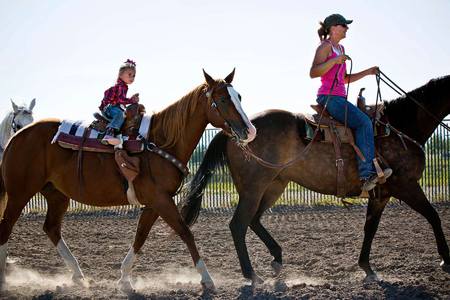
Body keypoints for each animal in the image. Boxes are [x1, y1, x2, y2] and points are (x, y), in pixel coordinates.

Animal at [0, 69, 256, 292]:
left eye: (239, 97)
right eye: (222, 99)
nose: (250, 131)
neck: (160, 141)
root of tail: (17, 137)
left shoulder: (154, 203)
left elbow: (140, 236)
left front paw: (124, 279)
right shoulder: (161, 200)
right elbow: (185, 232)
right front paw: (207, 278)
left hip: (56, 195)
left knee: (51, 228)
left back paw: (79, 276)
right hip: (20, 193)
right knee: (6, 227)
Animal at [181, 75, 450, 286]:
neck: (401, 126)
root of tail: (234, 132)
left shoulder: (381, 194)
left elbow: (370, 228)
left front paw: (367, 268)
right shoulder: (406, 185)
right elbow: (433, 216)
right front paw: (445, 259)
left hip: (274, 186)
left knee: (254, 220)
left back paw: (277, 258)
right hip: (253, 189)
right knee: (238, 224)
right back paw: (252, 275)